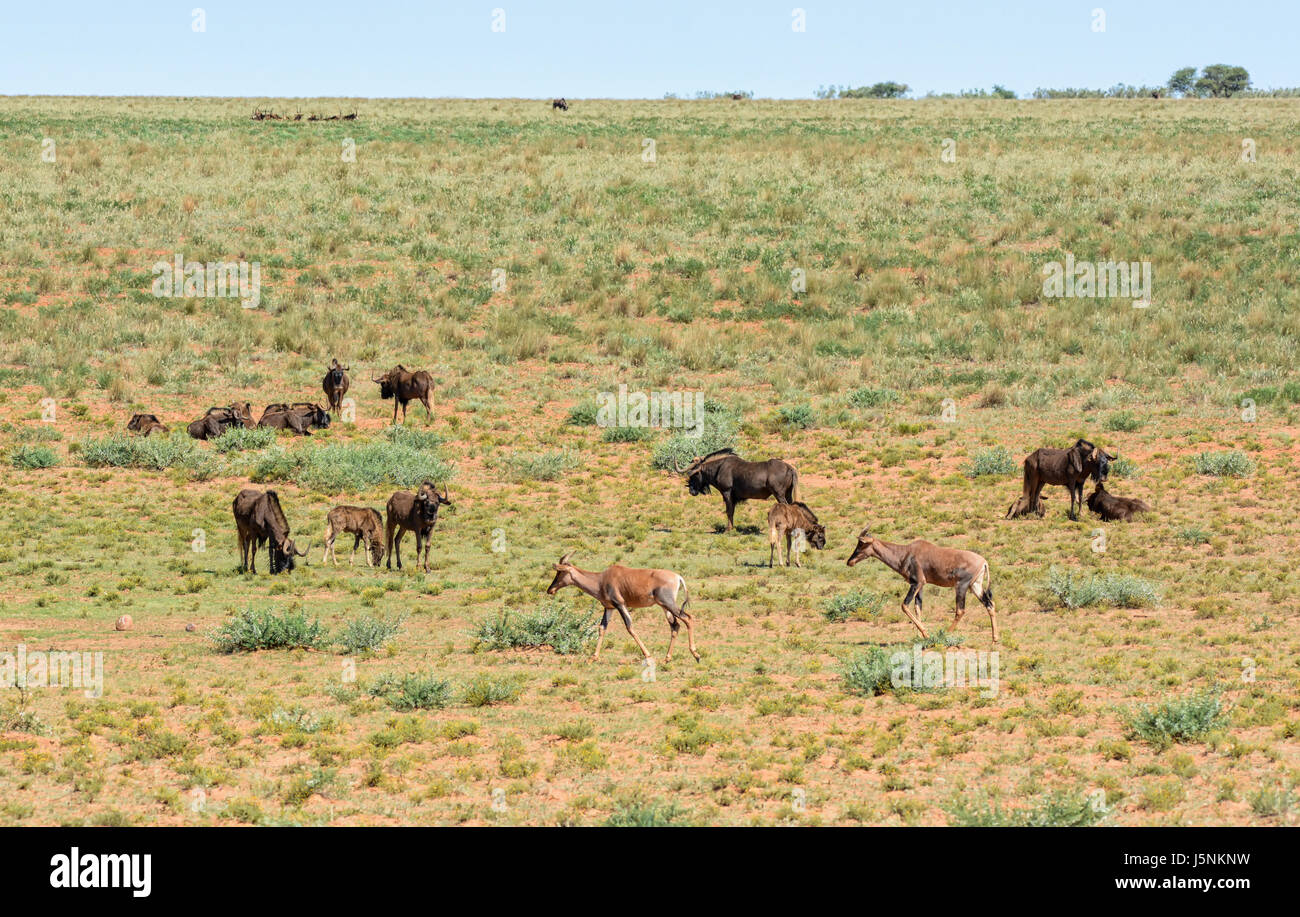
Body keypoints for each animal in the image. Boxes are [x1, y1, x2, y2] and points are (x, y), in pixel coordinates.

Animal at [546, 553, 699, 663]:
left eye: (560, 572)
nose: (550, 590)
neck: (602, 579)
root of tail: (678, 577)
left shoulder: (620, 604)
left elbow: (629, 626)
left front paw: (648, 655)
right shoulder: (609, 608)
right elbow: (602, 628)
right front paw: (593, 657)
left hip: (668, 604)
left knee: (688, 618)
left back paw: (696, 655)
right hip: (664, 606)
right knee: (675, 625)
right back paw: (667, 658)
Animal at [845, 530, 998, 643]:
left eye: (861, 544)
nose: (849, 562)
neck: (908, 552)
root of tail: (984, 562)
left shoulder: (917, 582)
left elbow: (904, 605)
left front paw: (926, 634)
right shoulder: (921, 586)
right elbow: (918, 607)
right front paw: (919, 636)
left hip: (961, 586)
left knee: (960, 610)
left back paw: (945, 635)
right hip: (975, 586)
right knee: (990, 604)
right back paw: (994, 639)